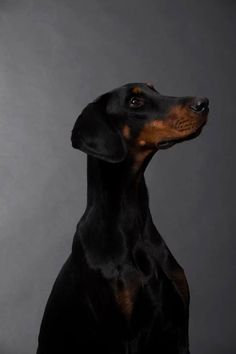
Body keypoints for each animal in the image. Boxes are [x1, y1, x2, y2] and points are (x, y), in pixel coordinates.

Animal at [36, 83, 208, 354]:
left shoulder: (180, 329)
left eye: (155, 90)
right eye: (135, 102)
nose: (204, 103)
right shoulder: (124, 337)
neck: (131, 221)